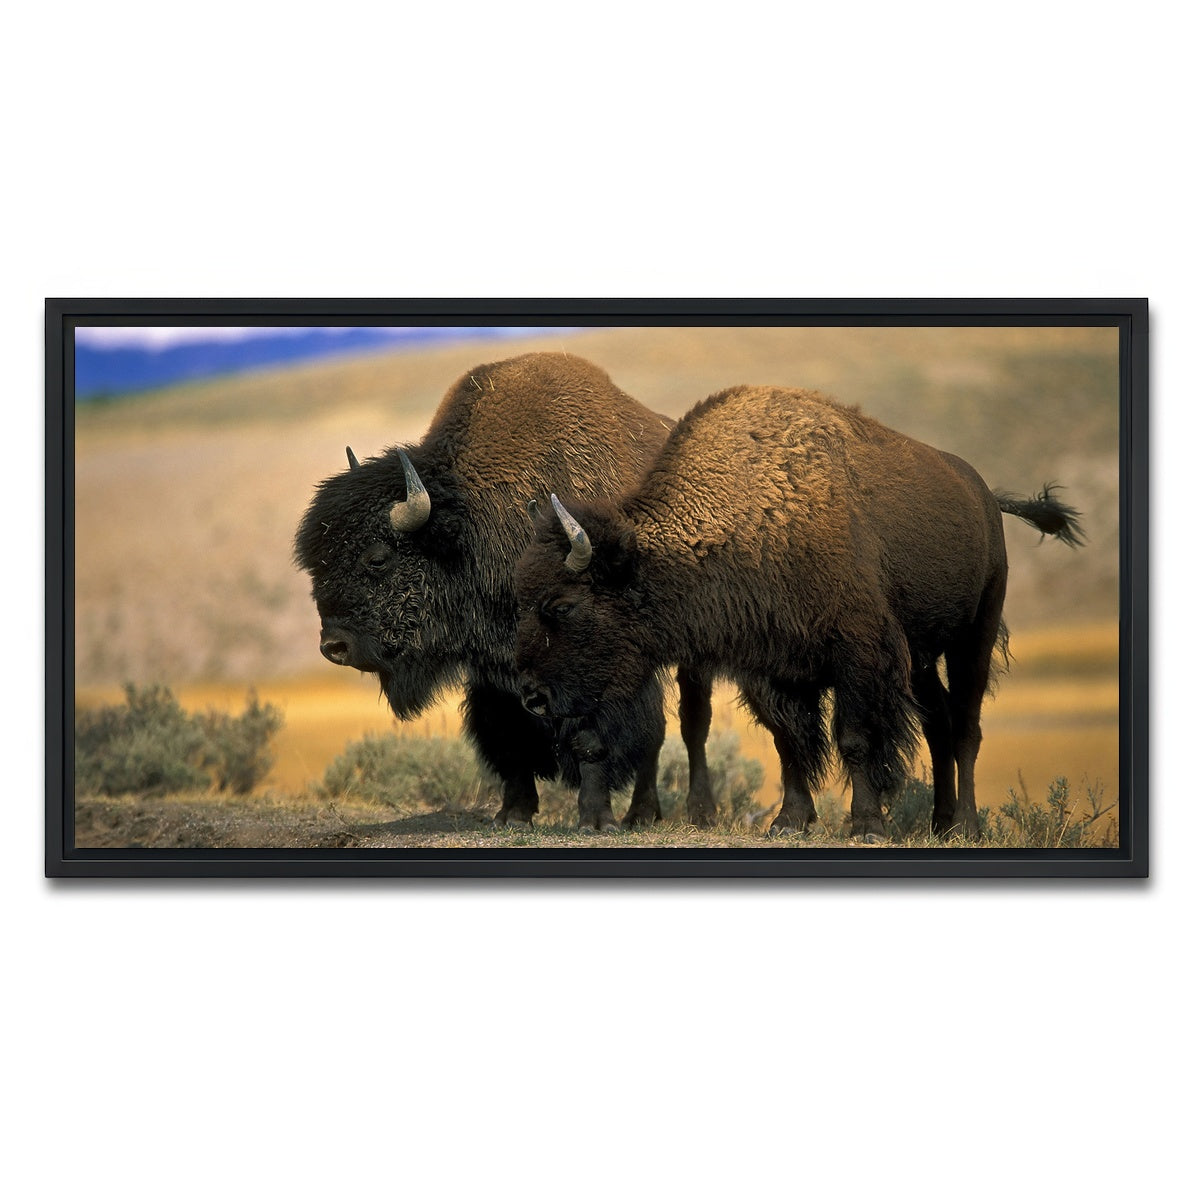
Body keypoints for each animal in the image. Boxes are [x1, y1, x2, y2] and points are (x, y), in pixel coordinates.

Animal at [293, 351, 682, 830]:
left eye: (378, 558)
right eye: (317, 564)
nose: (334, 646)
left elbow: (591, 738)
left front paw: (595, 820)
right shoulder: (493, 672)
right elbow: (508, 737)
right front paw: (513, 814)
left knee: (658, 734)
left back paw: (641, 815)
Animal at [514, 384, 1083, 840]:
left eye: (562, 605)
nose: (532, 696)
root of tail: (984, 494)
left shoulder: (859, 656)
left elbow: (854, 739)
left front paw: (866, 826)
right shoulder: (774, 669)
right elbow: (790, 742)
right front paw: (788, 822)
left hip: (973, 637)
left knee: (966, 725)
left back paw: (965, 825)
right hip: (921, 658)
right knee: (939, 722)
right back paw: (939, 825)